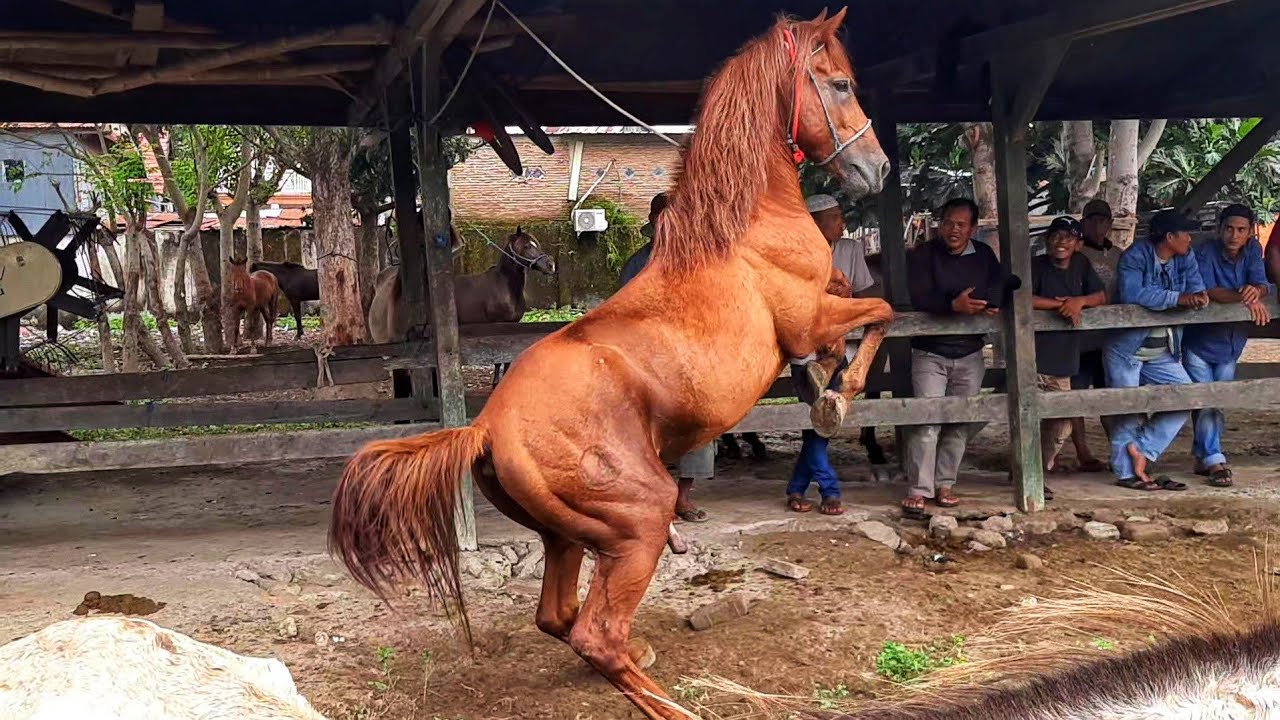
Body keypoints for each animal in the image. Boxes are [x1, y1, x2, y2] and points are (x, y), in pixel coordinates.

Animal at [330, 10, 893, 719]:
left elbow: (855, 316)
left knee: (560, 618)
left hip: (567, 537)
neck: (743, 226)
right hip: (639, 518)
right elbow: (880, 310)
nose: (878, 167)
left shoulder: (820, 309)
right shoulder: (807, 317)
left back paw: (641, 656)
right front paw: (838, 396)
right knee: (595, 633)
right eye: (840, 83)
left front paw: (825, 386)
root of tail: (486, 428)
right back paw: (673, 703)